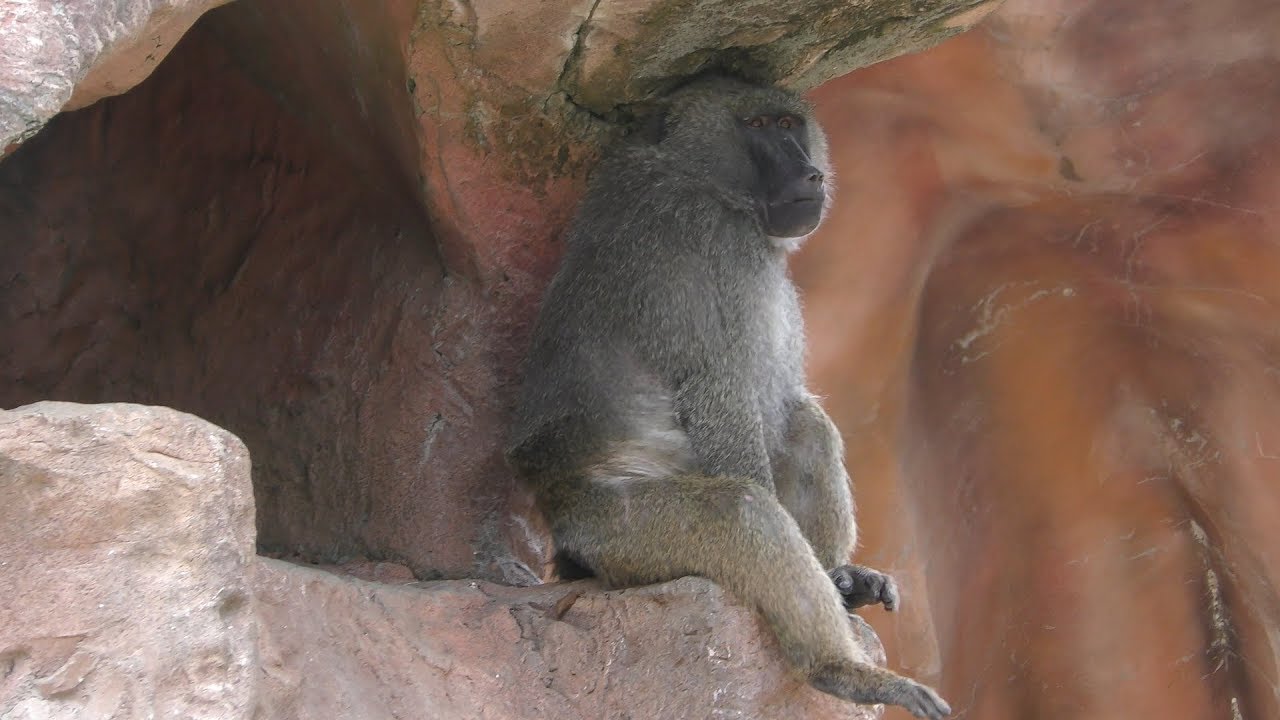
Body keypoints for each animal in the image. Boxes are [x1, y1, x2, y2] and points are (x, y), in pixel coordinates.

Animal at [505, 74, 951, 719]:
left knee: (805, 423)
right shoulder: (715, 249)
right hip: (613, 532)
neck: (700, 176)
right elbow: (719, 392)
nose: (810, 175)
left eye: (789, 123)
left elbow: (782, 406)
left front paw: (842, 579)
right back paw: (838, 670)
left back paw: (840, 583)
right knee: (739, 510)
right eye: (758, 127)